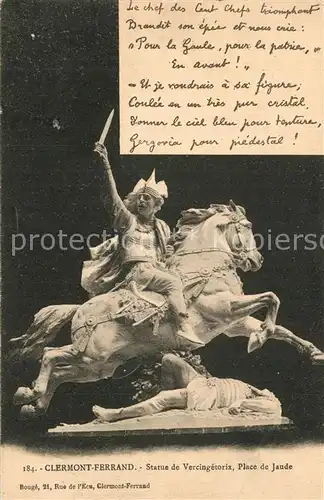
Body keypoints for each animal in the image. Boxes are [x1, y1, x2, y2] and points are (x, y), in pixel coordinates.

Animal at [11, 200, 322, 418]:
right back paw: (32, 392)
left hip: (100, 366)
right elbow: (271, 298)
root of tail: (80, 310)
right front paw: (260, 339)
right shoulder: (224, 308)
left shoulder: (234, 324)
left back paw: (33, 402)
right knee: (50, 355)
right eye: (245, 226)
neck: (205, 266)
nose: (256, 260)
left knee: (61, 372)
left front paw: (311, 352)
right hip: (91, 354)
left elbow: (280, 327)